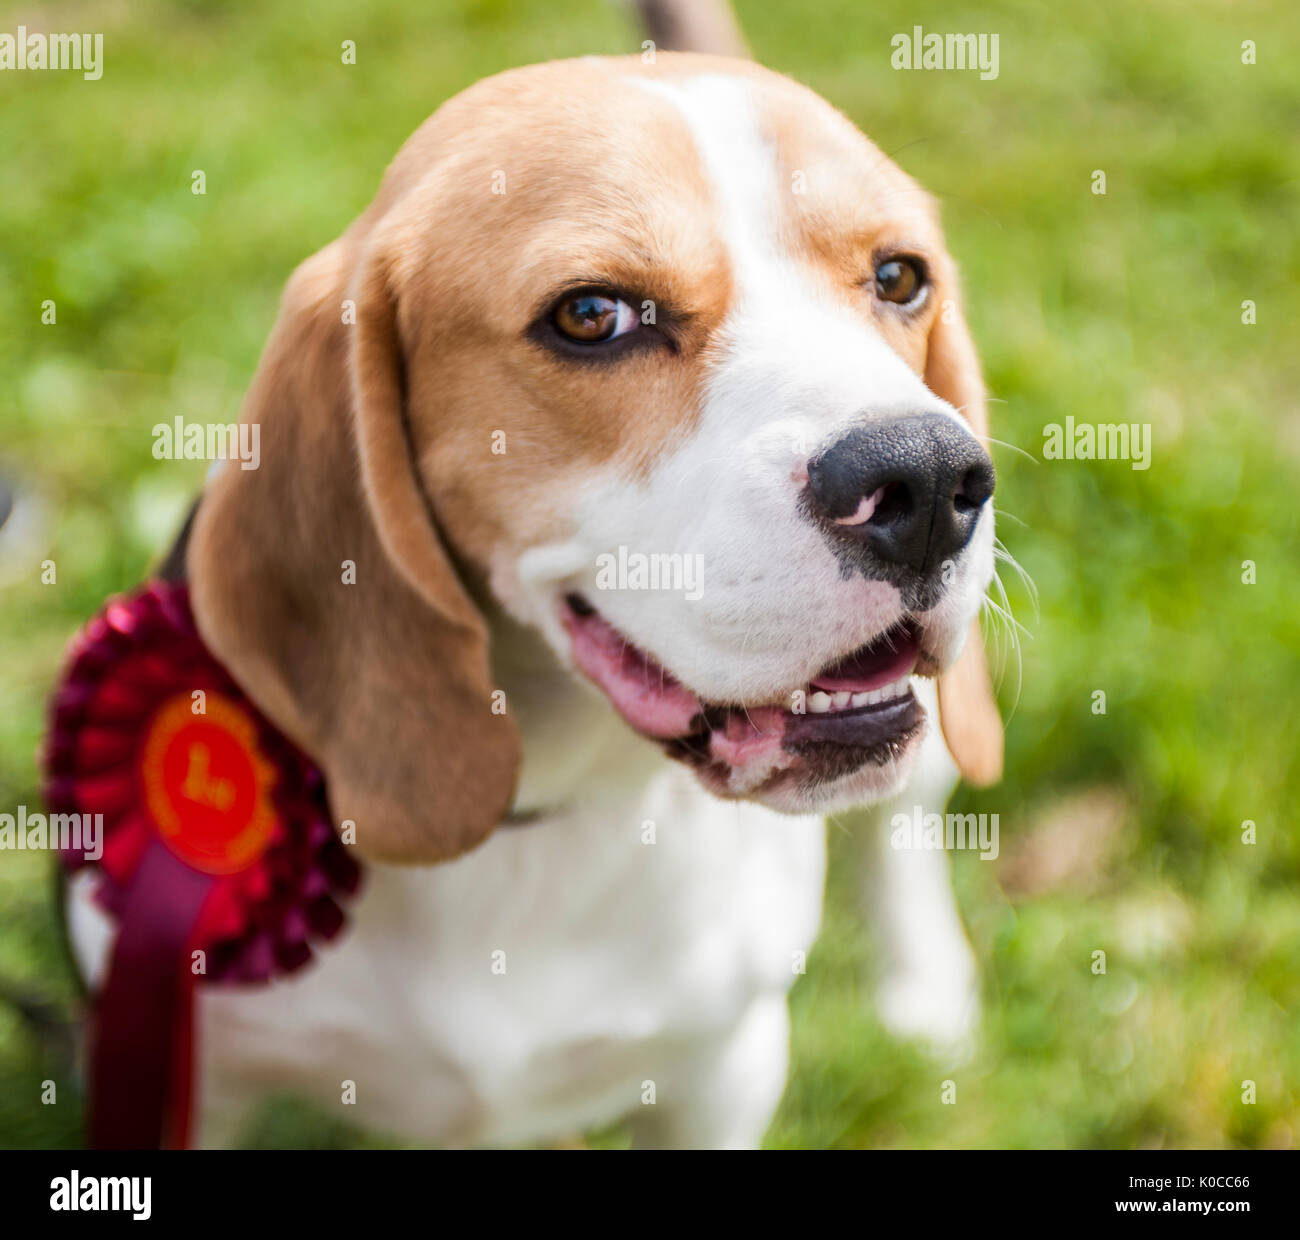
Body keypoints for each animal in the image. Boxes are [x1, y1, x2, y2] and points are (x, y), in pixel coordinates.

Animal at [65, 48, 1003, 1149]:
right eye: (592, 316)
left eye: (900, 278)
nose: (929, 483)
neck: (535, 811)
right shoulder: (196, 1081)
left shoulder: (723, 1068)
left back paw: (922, 990)